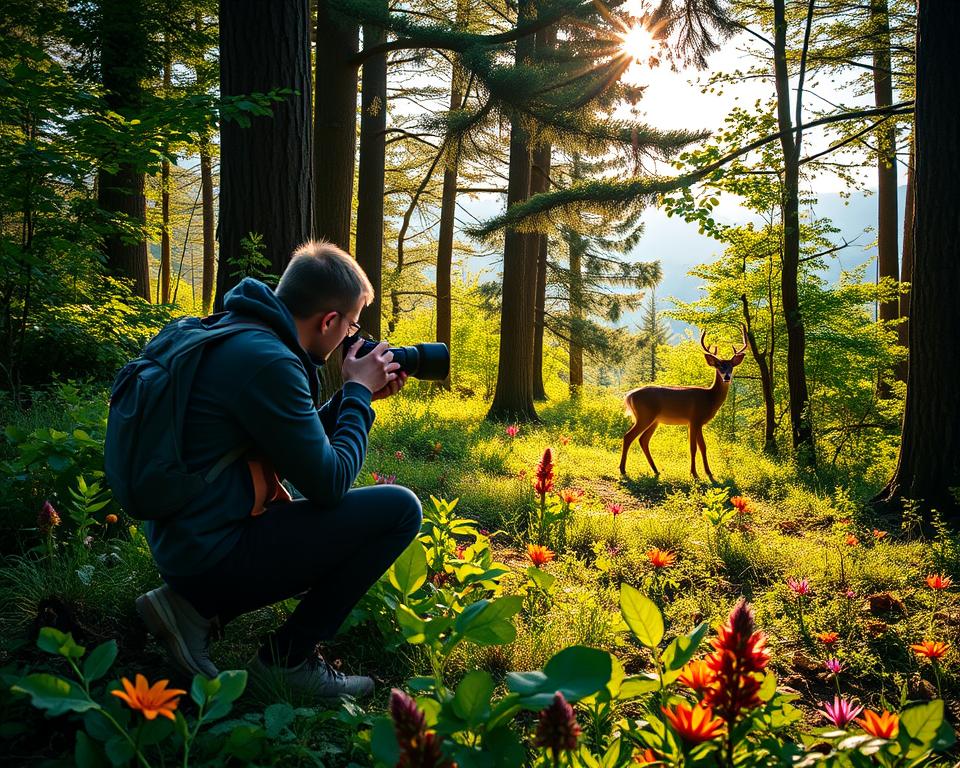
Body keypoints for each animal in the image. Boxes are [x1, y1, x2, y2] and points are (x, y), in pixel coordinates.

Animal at [624, 324, 752, 480]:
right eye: (719, 366)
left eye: (731, 366)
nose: (726, 377)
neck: (709, 398)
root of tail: (629, 395)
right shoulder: (694, 419)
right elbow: (693, 447)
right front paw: (694, 473)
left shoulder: (698, 422)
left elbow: (703, 447)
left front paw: (708, 472)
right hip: (644, 416)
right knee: (628, 437)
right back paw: (623, 470)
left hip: (654, 420)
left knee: (643, 440)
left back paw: (656, 470)